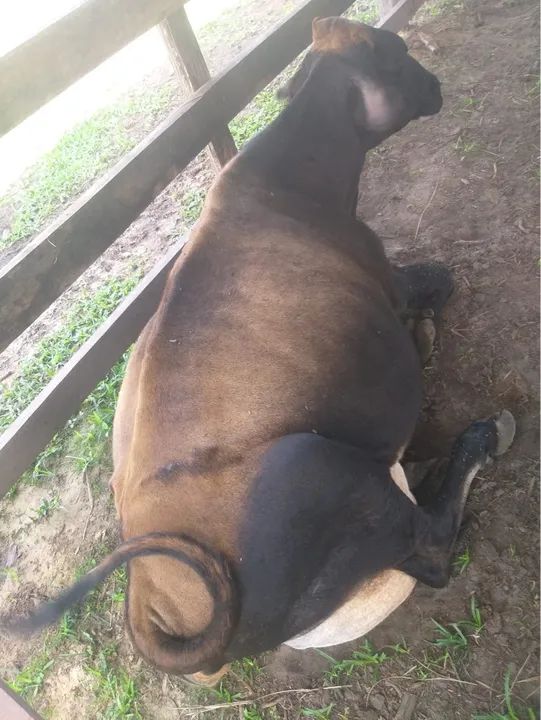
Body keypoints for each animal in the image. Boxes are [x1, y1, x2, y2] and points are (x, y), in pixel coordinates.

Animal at [1, 17, 515, 687]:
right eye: (399, 53)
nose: (435, 84)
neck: (293, 177)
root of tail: (153, 597)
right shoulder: (388, 276)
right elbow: (440, 278)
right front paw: (424, 328)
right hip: (312, 467)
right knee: (429, 546)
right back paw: (478, 437)